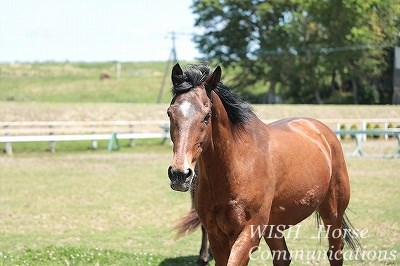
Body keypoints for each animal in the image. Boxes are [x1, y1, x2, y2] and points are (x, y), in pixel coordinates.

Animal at [167, 63, 360, 264]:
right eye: (170, 113)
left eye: (207, 116)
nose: (180, 174)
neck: (235, 166)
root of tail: (322, 132)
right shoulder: (217, 236)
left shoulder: (248, 234)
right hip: (274, 227)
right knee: (283, 257)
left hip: (332, 214)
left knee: (335, 253)